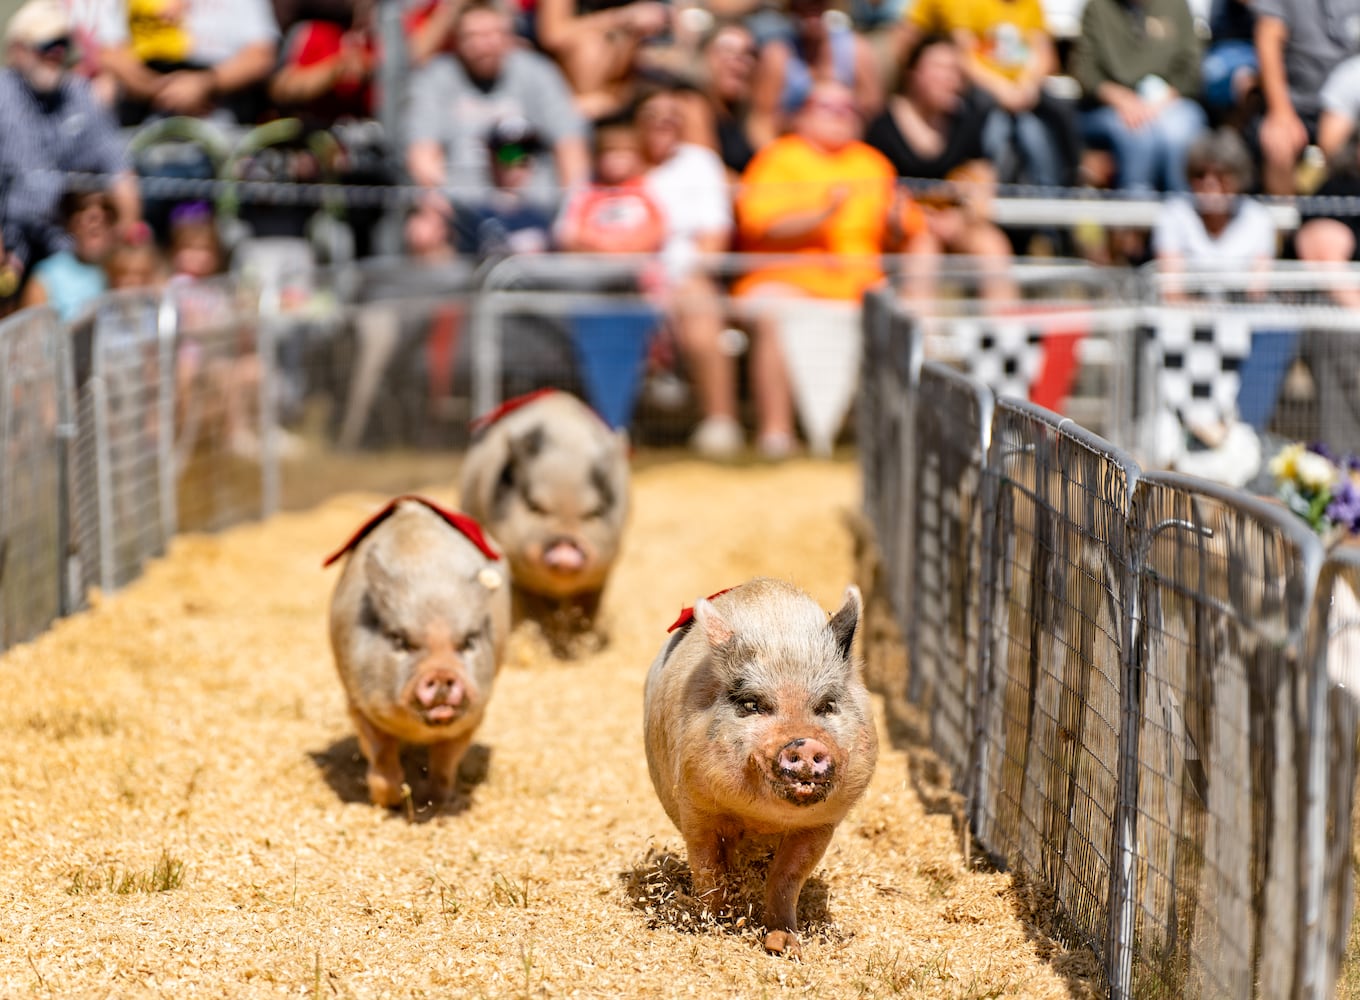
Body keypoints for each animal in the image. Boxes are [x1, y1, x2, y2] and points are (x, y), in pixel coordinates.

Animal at [323, 497, 511, 810]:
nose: (442, 673)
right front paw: (388, 803)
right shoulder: (358, 702)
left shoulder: (476, 712)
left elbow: (446, 761)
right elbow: (382, 757)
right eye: (400, 641)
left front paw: (437, 801)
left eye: (469, 641)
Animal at [456, 386, 625, 653]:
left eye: (594, 512)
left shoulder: (602, 571)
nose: (566, 546)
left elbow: (587, 610)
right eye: (535, 507)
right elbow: (534, 612)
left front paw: (577, 649)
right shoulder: (517, 574)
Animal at [644, 582, 881, 957]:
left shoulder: (822, 824)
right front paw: (713, 926)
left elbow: (787, 877)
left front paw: (784, 946)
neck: (765, 817)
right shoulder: (696, 805)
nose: (805, 743)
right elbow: (709, 868)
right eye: (752, 704)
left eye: (827, 705)